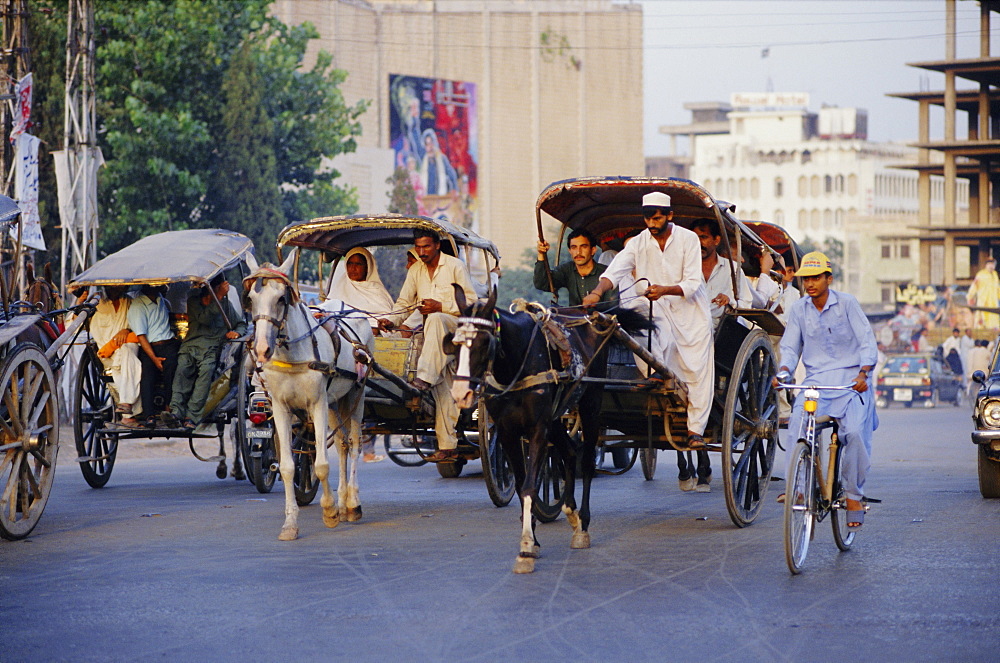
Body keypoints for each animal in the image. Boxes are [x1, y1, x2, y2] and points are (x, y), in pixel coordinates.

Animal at [245, 252, 376, 544]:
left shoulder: (317, 404)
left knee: (354, 444)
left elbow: (321, 465)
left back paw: (352, 504)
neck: (294, 354)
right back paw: (343, 502)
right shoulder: (281, 408)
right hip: (335, 402)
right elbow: (287, 467)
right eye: (250, 300)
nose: (262, 349)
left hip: (356, 394)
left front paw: (330, 512)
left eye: (281, 299)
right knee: (343, 446)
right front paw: (290, 524)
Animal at [448, 288, 648, 572]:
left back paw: (582, 525)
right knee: (570, 453)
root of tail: (589, 316)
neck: (518, 362)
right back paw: (570, 511)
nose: (460, 394)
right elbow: (521, 484)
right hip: (555, 420)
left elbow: (530, 486)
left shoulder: (537, 429)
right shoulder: (507, 433)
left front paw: (525, 549)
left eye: (484, 342)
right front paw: (532, 539)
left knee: (587, 461)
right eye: (454, 342)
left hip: (591, 403)